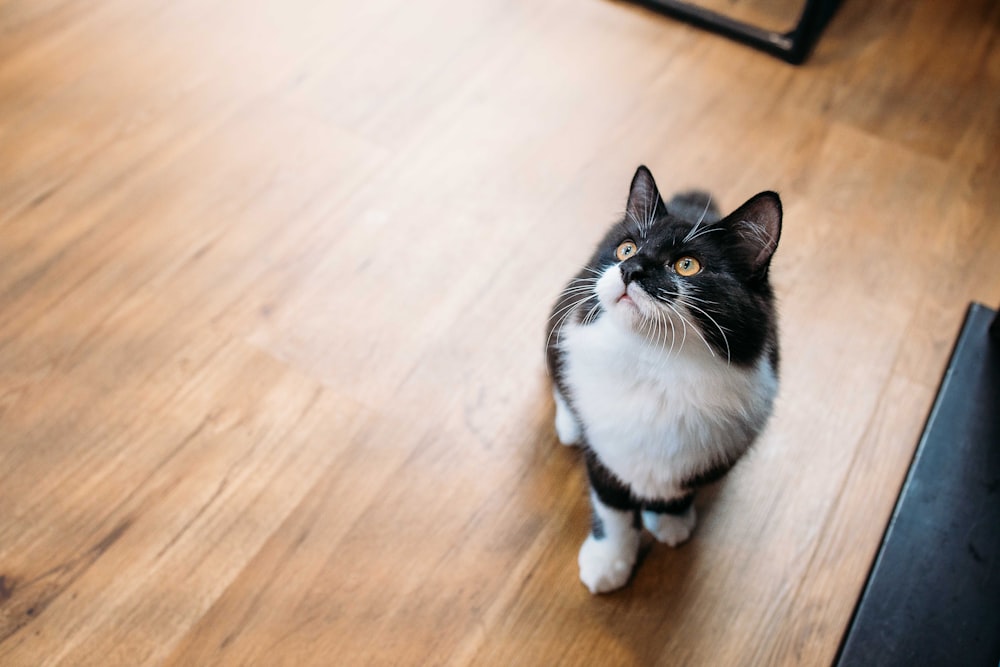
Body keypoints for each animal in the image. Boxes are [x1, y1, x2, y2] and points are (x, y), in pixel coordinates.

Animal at [548, 167, 780, 596]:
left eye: (687, 265)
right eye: (626, 249)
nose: (629, 270)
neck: (656, 364)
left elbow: (681, 487)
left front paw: (670, 520)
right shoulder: (604, 456)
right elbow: (613, 508)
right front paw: (609, 563)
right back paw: (569, 424)